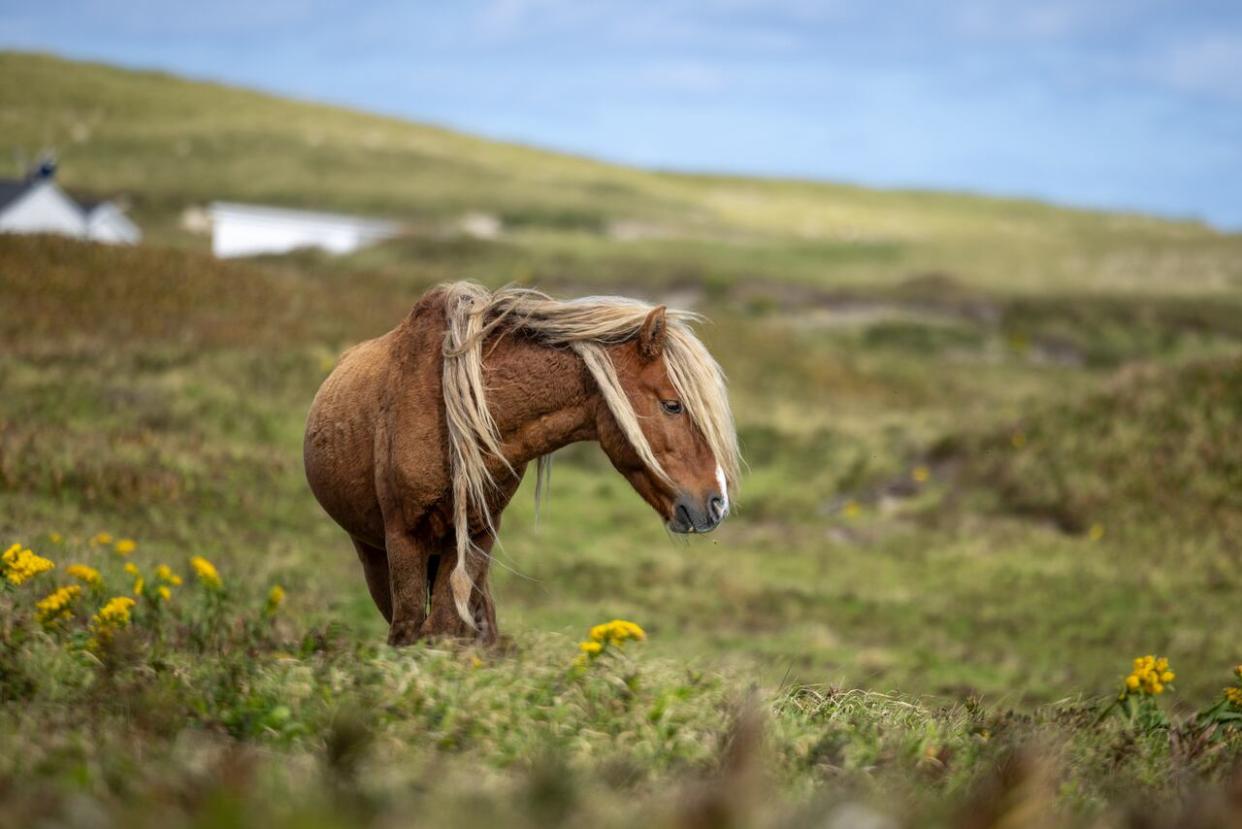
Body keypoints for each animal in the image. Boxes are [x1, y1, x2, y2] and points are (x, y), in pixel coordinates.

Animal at [305, 282, 740, 646]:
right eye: (672, 405)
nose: (716, 503)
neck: (452, 411)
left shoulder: (477, 536)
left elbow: (444, 627)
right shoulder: (404, 538)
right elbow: (410, 631)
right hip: (373, 552)